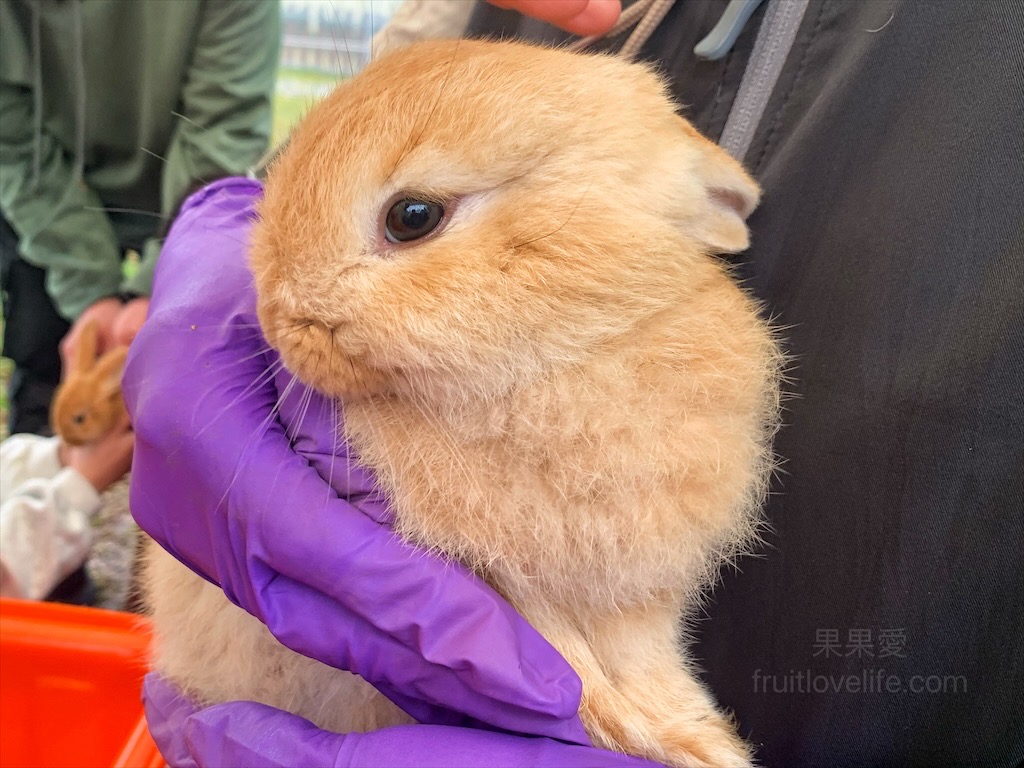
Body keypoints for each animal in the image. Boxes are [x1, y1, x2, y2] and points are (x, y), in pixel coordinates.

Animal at [144, 41, 782, 768]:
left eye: (412, 217)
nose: (277, 320)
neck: (561, 358)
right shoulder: (502, 586)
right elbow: (565, 660)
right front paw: (650, 734)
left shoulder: (634, 603)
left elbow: (637, 662)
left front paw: (698, 741)